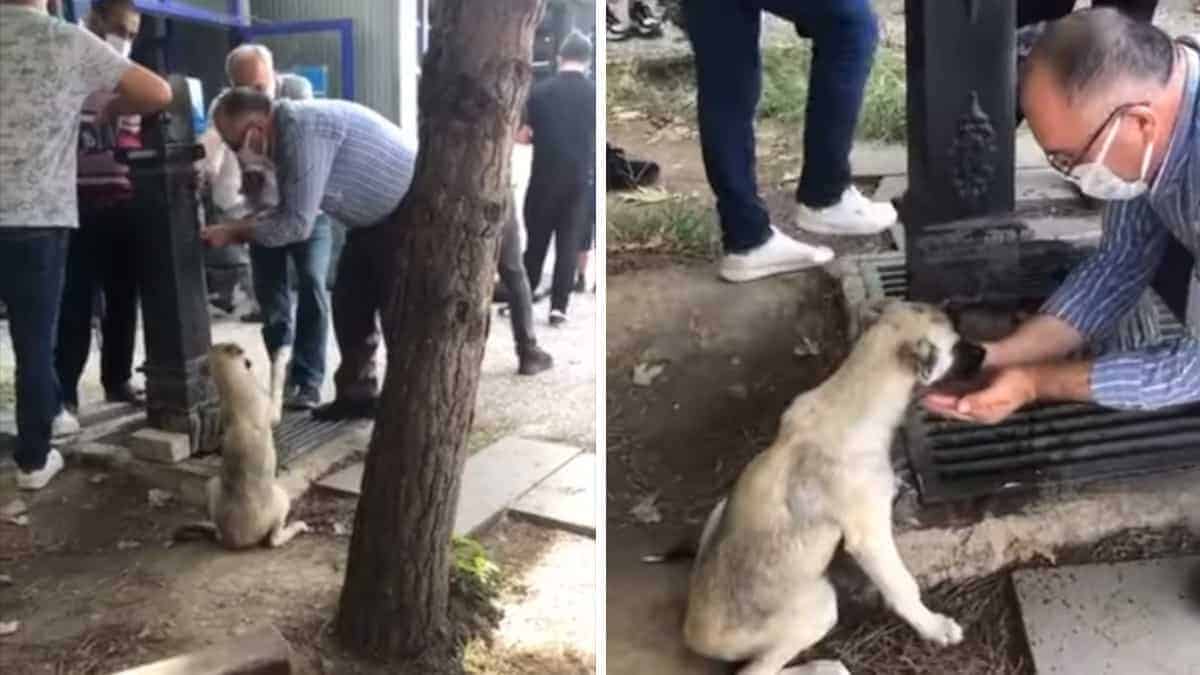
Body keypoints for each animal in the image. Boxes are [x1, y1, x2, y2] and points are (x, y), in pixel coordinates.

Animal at [648, 300, 984, 672]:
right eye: (957, 345)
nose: (985, 352)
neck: (852, 396)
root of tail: (693, 635)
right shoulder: (870, 537)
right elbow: (903, 587)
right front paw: (934, 627)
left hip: (721, 508)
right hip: (819, 606)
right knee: (757, 671)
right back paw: (825, 667)